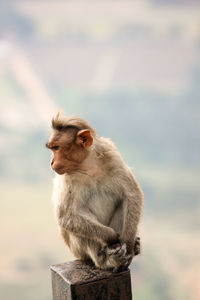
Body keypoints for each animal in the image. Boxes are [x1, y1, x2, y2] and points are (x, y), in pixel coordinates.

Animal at [46, 113, 143, 272]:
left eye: (56, 148)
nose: (52, 162)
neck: (88, 164)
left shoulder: (111, 154)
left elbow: (132, 195)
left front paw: (128, 244)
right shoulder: (67, 178)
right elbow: (67, 215)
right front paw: (112, 237)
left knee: (123, 202)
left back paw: (132, 249)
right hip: (79, 251)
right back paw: (107, 260)